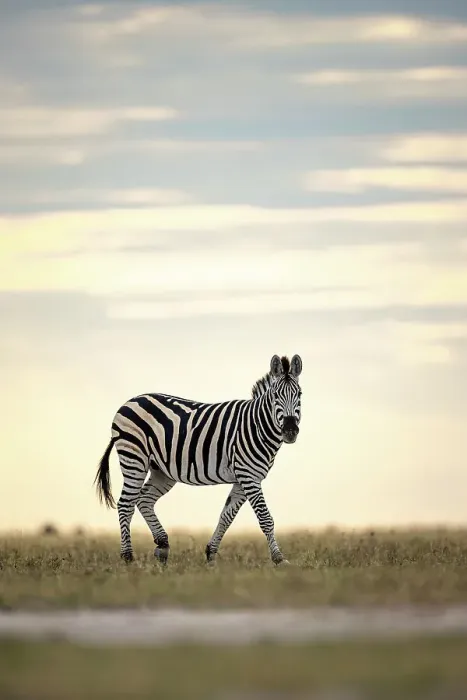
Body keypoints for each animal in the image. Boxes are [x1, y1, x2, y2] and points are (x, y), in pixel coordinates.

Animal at [94, 353, 303, 566]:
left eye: (300, 395)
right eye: (275, 396)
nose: (290, 431)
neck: (257, 426)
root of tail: (130, 401)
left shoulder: (246, 477)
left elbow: (226, 516)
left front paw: (211, 554)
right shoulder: (248, 476)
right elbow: (265, 518)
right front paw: (279, 559)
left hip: (161, 470)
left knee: (144, 499)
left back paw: (162, 546)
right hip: (134, 458)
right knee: (125, 504)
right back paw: (128, 557)